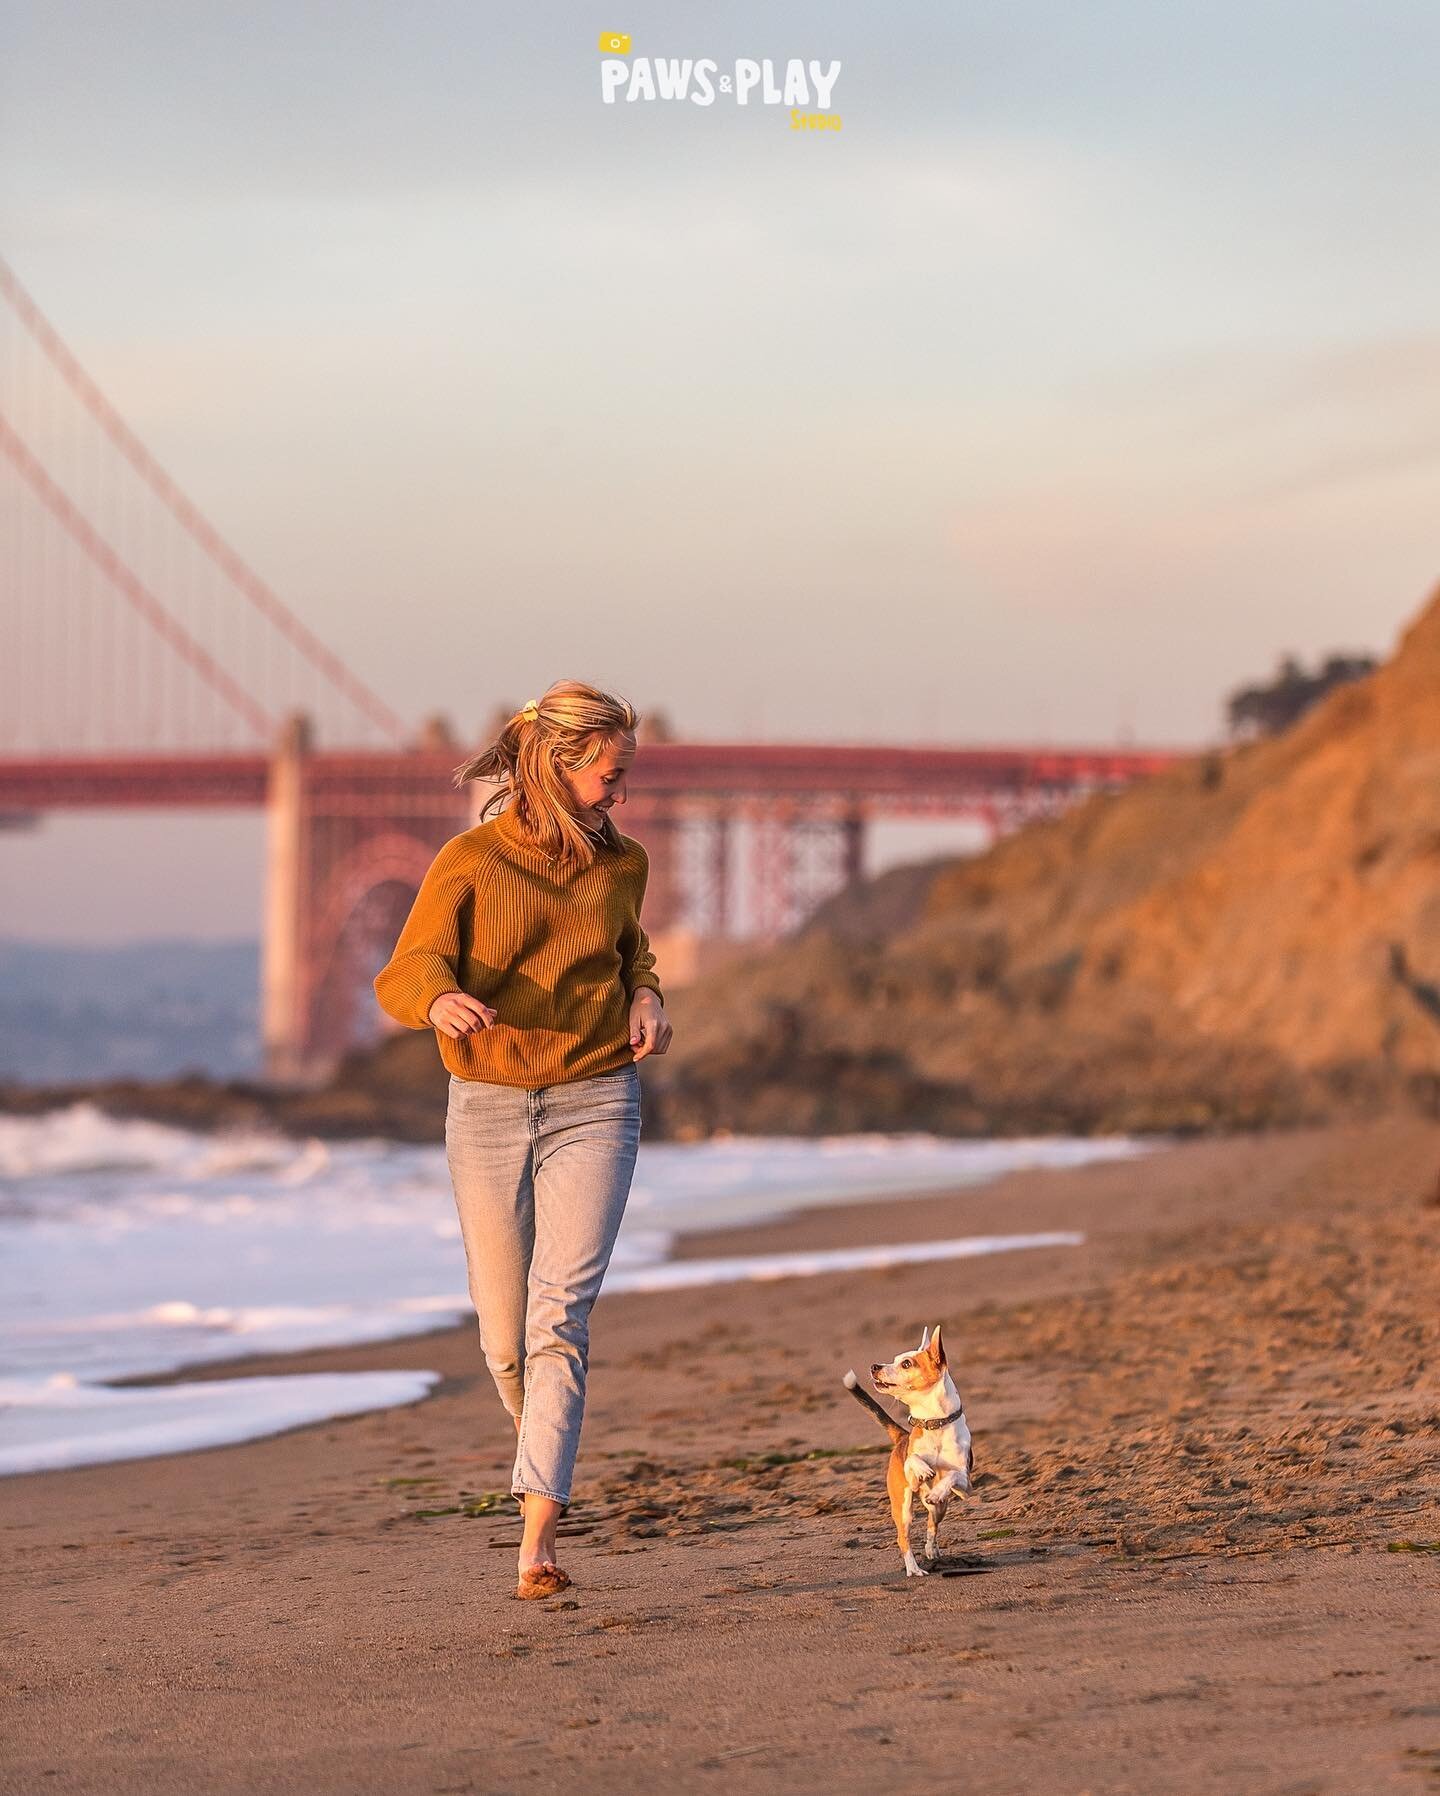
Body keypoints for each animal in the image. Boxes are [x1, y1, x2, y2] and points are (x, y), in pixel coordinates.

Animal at [840, 1329, 962, 1580]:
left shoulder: (965, 1480)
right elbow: (914, 1460)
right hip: (903, 1508)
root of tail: (902, 1436)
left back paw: (932, 1550)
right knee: (902, 1538)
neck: (933, 1422)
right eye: (896, 1359)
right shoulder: (912, 1468)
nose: (874, 1366)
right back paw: (913, 1569)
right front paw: (923, 1468)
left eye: (907, 1363)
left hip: (939, 1508)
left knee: (932, 1524)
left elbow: (953, 1475)